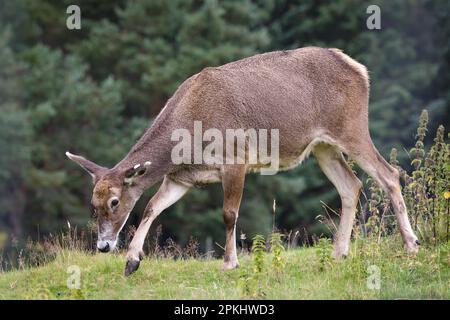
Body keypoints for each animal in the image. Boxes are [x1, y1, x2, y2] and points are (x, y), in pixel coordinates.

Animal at [65, 46, 420, 276]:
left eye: (114, 201)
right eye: (92, 204)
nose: (103, 246)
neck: (189, 136)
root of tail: (360, 69)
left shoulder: (235, 158)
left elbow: (228, 214)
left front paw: (229, 262)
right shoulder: (182, 177)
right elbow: (152, 207)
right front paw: (132, 261)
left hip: (351, 127)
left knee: (390, 173)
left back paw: (412, 244)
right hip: (323, 146)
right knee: (352, 184)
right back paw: (339, 252)